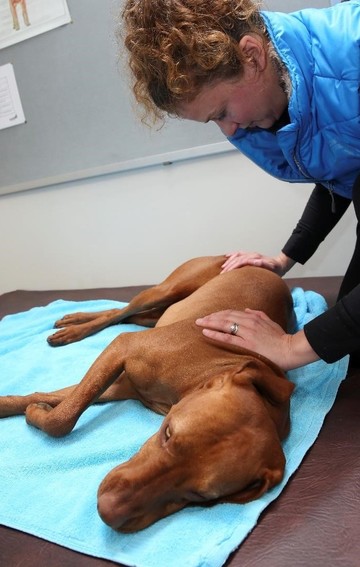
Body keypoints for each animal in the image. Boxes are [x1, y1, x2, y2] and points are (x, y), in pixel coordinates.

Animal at [0, 258, 294, 532]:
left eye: (200, 496)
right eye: (168, 433)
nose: (107, 511)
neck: (211, 370)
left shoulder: (122, 385)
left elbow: (60, 407)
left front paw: (31, 408)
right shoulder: (123, 347)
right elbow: (64, 416)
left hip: (160, 312)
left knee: (124, 315)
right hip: (166, 290)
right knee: (122, 311)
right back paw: (73, 326)